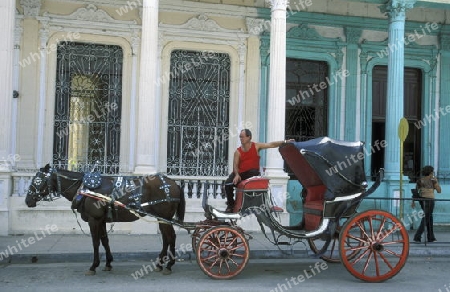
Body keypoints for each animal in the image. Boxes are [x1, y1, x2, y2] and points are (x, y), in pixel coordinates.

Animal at [25, 164, 185, 276]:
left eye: (38, 180)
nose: (28, 201)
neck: (85, 188)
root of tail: (174, 183)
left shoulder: (93, 219)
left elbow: (95, 242)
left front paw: (93, 266)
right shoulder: (101, 220)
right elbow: (104, 240)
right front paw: (108, 263)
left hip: (165, 217)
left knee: (170, 236)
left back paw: (169, 265)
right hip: (162, 218)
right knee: (166, 238)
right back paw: (161, 263)